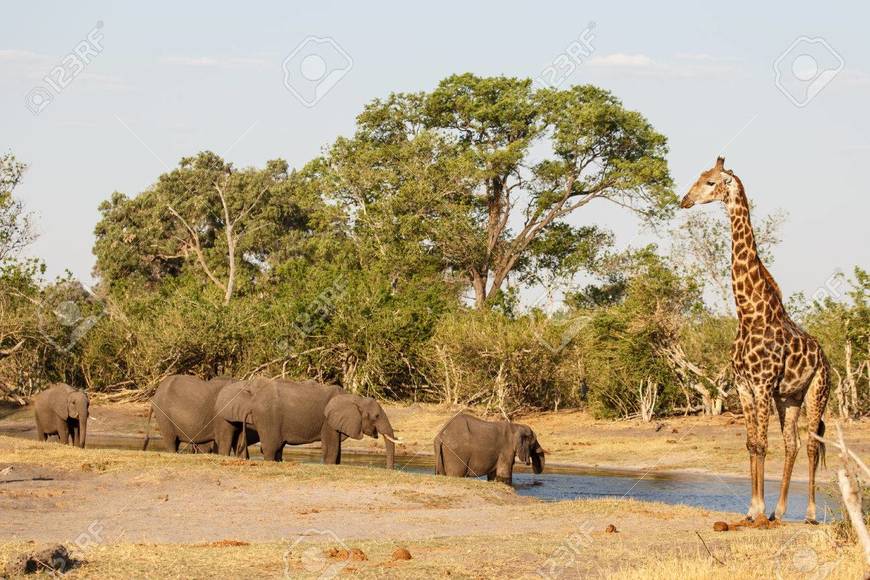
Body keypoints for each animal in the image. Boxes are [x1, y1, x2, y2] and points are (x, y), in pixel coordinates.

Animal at [249, 378, 398, 468]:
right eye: (376, 416)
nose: (389, 470)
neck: (355, 398)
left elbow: (337, 448)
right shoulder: (328, 421)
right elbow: (331, 448)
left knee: (278, 448)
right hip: (268, 418)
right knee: (271, 448)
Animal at [680, 156, 832, 524]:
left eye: (710, 182)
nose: (684, 200)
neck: (748, 313)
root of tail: (825, 358)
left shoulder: (762, 385)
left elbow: (762, 445)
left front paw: (759, 511)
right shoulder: (744, 386)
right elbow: (752, 444)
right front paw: (752, 510)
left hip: (817, 391)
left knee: (810, 444)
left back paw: (808, 513)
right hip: (789, 398)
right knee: (792, 443)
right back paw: (780, 510)